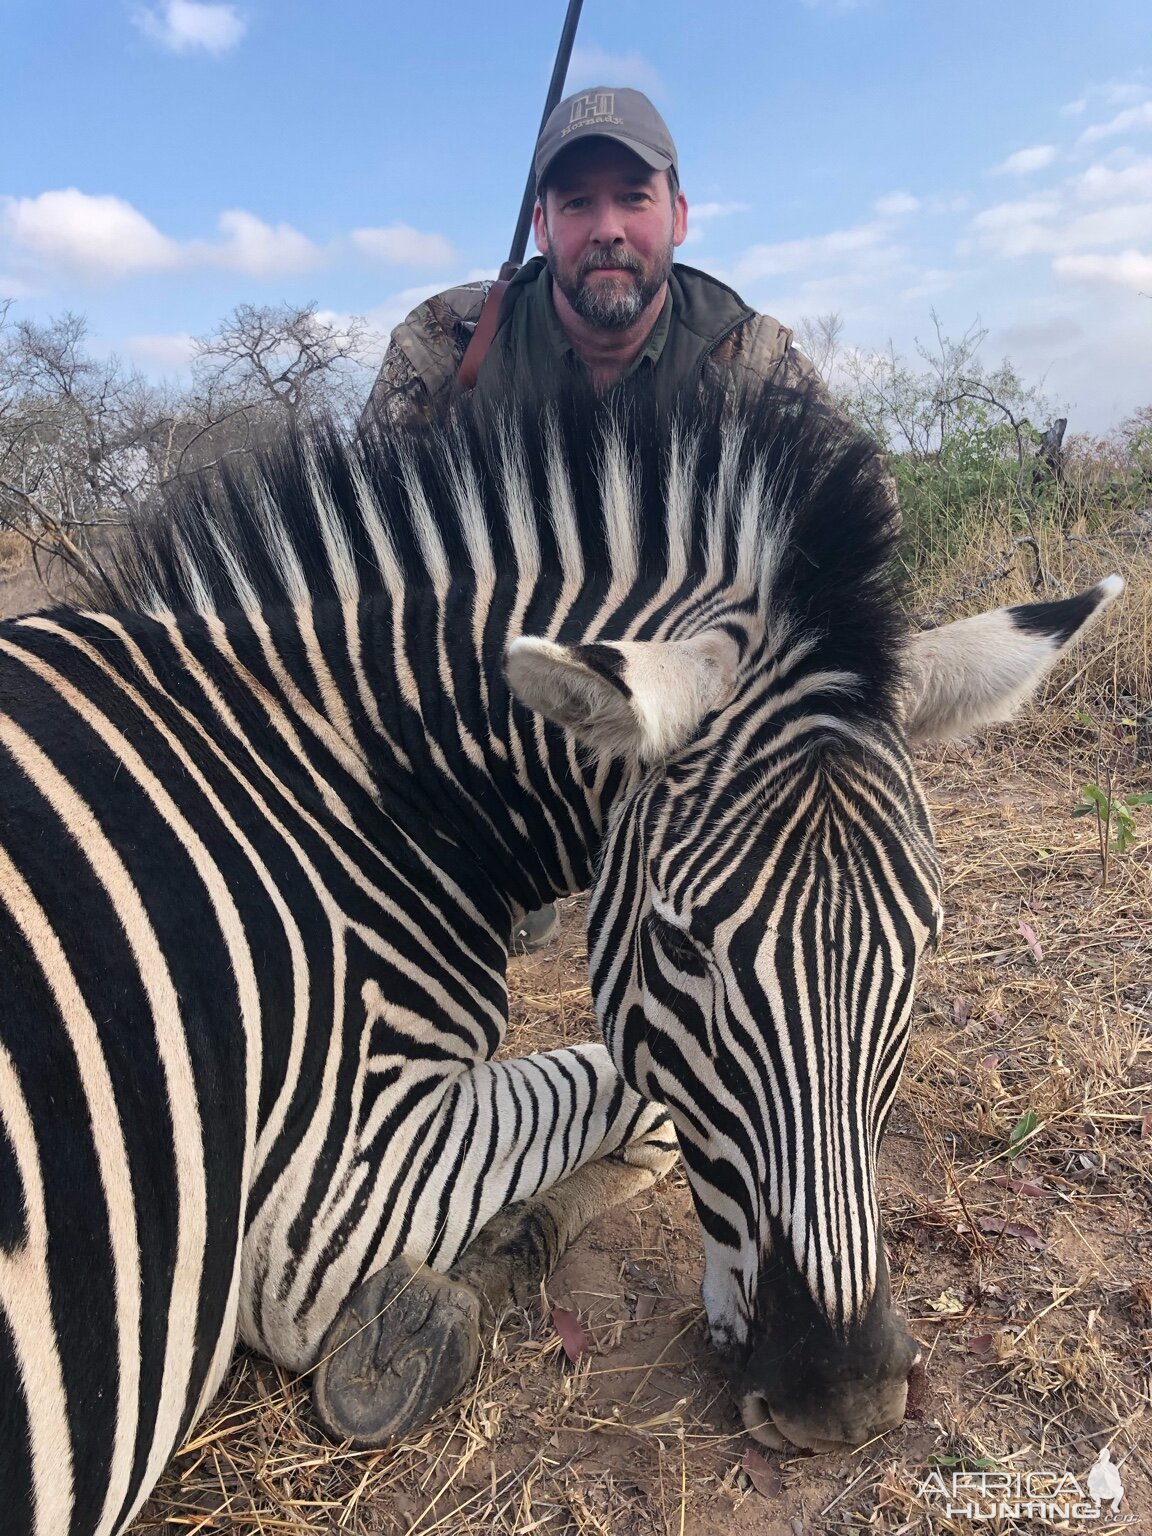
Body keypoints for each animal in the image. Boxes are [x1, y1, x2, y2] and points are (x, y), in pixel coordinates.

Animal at [0, 377, 1118, 1529]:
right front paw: (450, 1293)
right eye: (679, 946)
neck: (368, 789)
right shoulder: (336, 1197)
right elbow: (640, 1105)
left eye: (925, 937)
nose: (844, 1399)